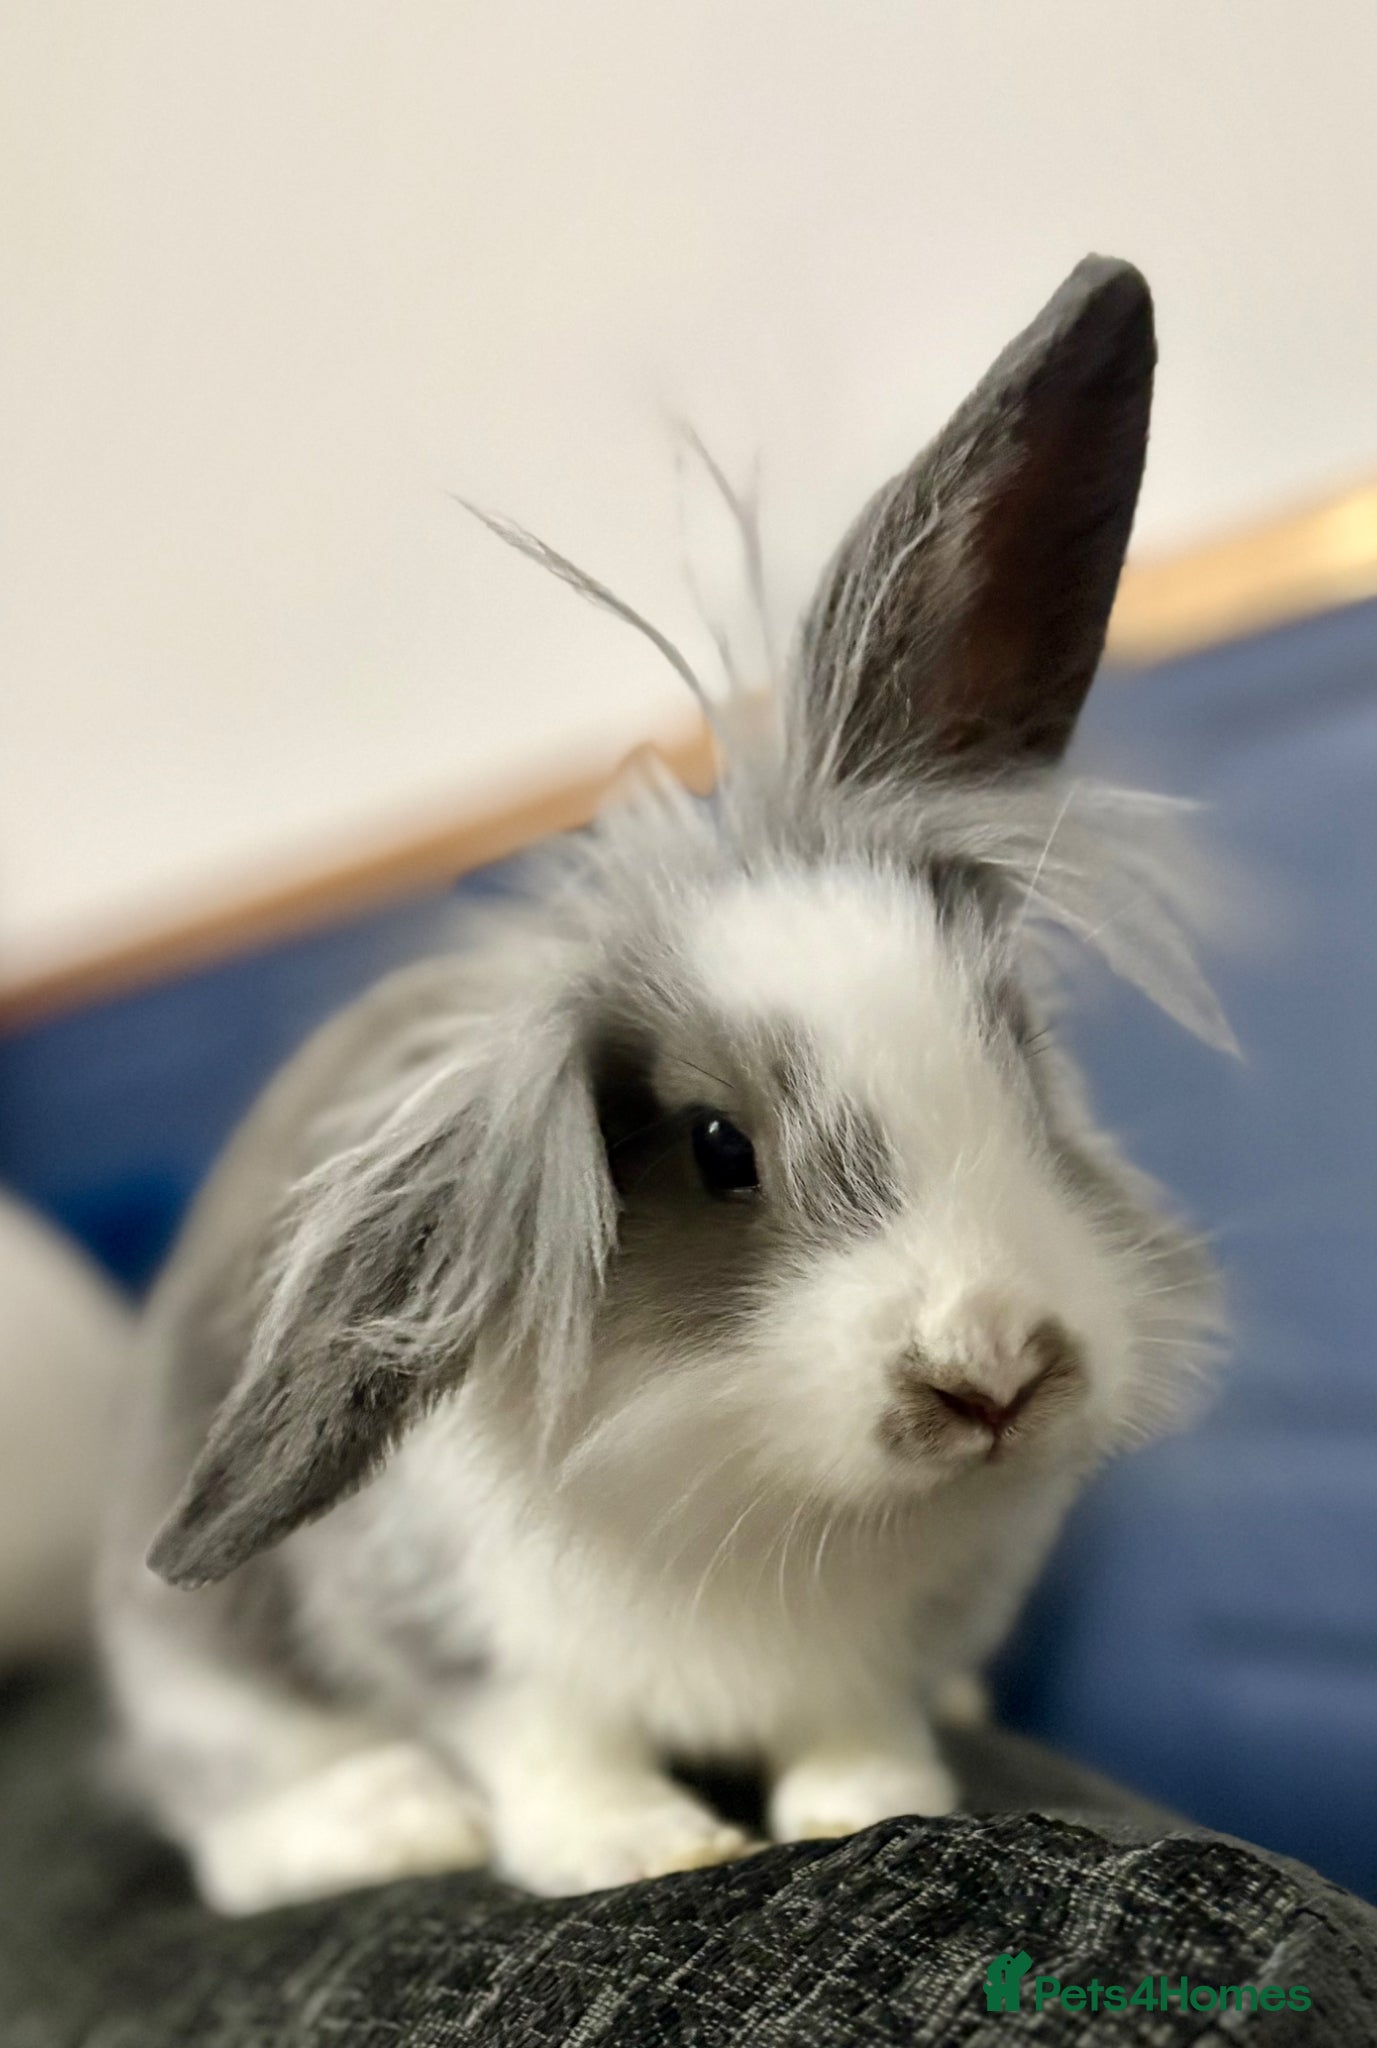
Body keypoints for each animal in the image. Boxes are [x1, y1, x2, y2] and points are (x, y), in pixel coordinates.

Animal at [98, 254, 1231, 1912]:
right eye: (714, 1148)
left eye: (1015, 1047)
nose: (995, 1374)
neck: (755, 1477)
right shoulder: (460, 1634)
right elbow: (544, 1749)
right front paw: (638, 1849)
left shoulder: (886, 1642)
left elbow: (859, 1720)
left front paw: (865, 1803)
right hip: (200, 1676)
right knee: (233, 1831)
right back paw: (384, 1820)